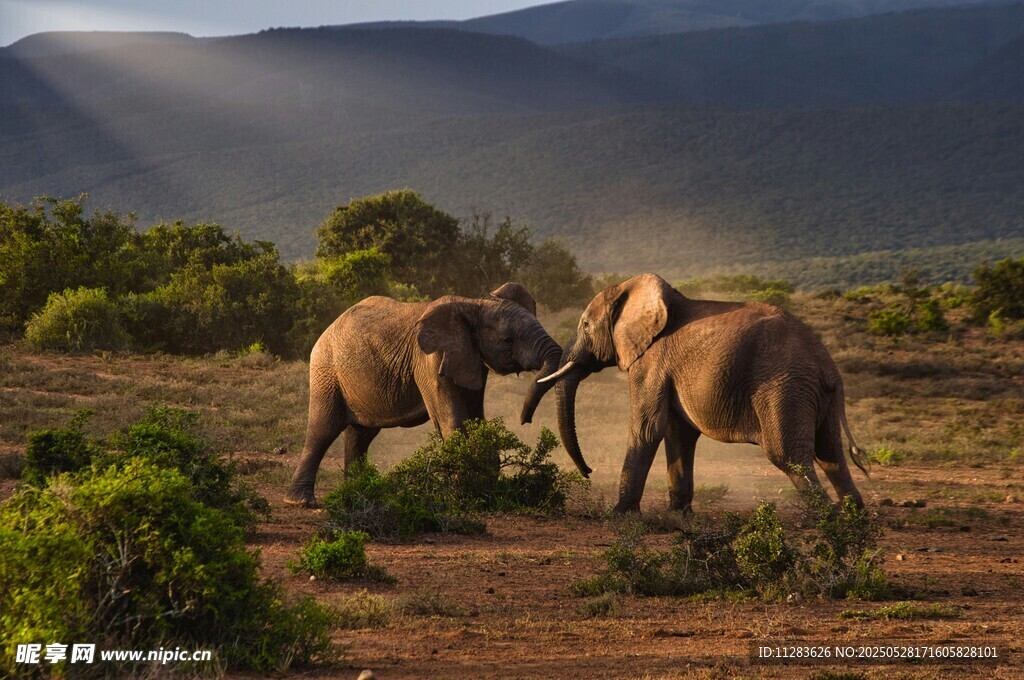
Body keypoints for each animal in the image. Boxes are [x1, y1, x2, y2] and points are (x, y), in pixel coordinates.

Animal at [285, 282, 563, 505]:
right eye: (508, 340)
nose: (525, 420)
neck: (475, 303)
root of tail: (329, 327)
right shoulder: (430, 360)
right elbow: (452, 420)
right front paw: (464, 494)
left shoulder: (470, 358)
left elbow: (476, 419)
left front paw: (486, 490)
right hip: (325, 369)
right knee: (324, 429)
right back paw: (301, 502)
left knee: (360, 435)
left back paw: (356, 494)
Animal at [539, 273, 870, 514]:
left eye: (585, 325)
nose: (588, 471)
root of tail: (828, 365)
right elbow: (677, 432)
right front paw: (678, 516)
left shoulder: (653, 361)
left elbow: (647, 429)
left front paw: (619, 514)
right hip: (815, 394)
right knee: (830, 454)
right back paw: (854, 518)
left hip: (785, 387)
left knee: (789, 455)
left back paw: (826, 521)